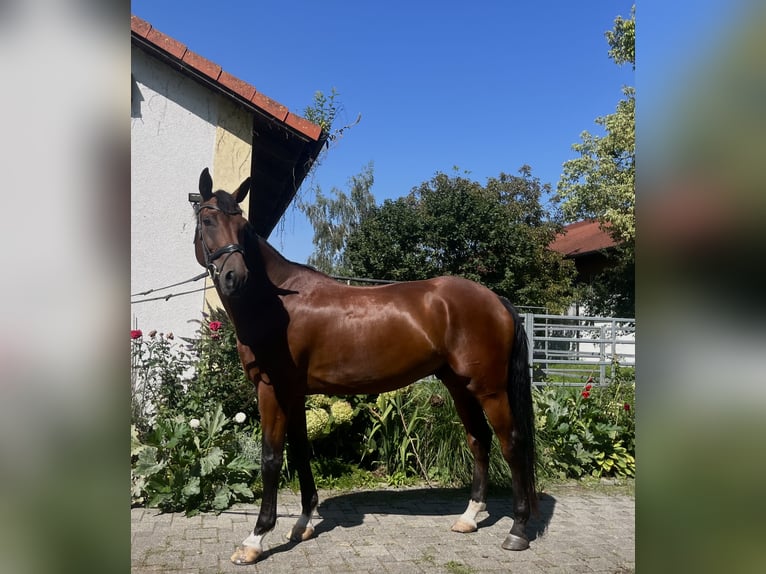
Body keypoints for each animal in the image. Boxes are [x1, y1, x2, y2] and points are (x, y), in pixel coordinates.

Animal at [192, 168, 540, 568]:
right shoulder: (294, 393)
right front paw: (304, 523)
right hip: (459, 386)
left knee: (511, 443)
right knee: (479, 439)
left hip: (490, 389)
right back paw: (469, 517)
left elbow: (271, 459)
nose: (235, 277)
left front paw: (255, 539)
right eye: (208, 220)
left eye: (243, 226)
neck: (276, 303)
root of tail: (495, 300)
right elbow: (300, 452)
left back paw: (518, 530)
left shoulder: (272, 390)